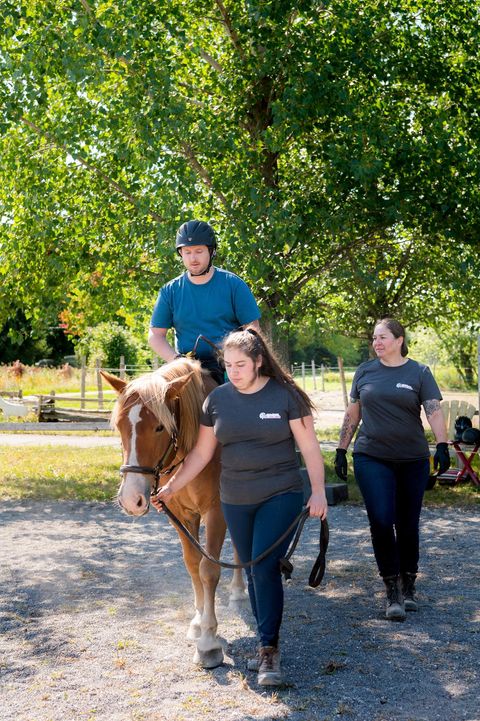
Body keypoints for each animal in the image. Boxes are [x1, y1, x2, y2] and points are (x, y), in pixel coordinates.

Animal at [100, 360, 244, 668]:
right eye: (119, 426)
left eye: (159, 427)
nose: (131, 499)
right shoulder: (178, 514)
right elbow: (192, 564)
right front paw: (198, 621)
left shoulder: (216, 511)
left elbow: (209, 569)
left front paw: (208, 641)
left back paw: (239, 593)